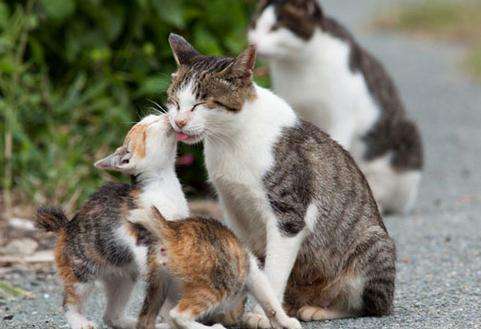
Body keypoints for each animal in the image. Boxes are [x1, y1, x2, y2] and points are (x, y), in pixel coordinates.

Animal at [34, 114, 188, 326]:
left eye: (154, 118)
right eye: (149, 125)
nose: (164, 115)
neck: (163, 184)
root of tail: (66, 226)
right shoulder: (143, 239)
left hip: (123, 275)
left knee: (110, 316)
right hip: (80, 272)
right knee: (69, 301)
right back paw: (79, 321)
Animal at [127, 206, 300, 328]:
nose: (234, 318)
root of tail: (173, 230)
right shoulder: (252, 270)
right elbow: (269, 298)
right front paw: (288, 322)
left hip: (157, 285)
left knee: (146, 320)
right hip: (216, 284)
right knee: (178, 315)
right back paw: (215, 327)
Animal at [167, 32, 396, 326]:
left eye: (201, 103)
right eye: (174, 101)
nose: (179, 122)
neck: (230, 141)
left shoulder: (288, 216)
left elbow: (274, 272)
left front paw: (261, 315)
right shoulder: (235, 209)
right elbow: (246, 262)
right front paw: (233, 309)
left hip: (372, 247)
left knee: (368, 306)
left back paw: (320, 309)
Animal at [246, 0, 422, 213]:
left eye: (275, 27)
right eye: (254, 25)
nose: (254, 42)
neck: (299, 66)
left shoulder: (342, 117)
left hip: (407, 138)